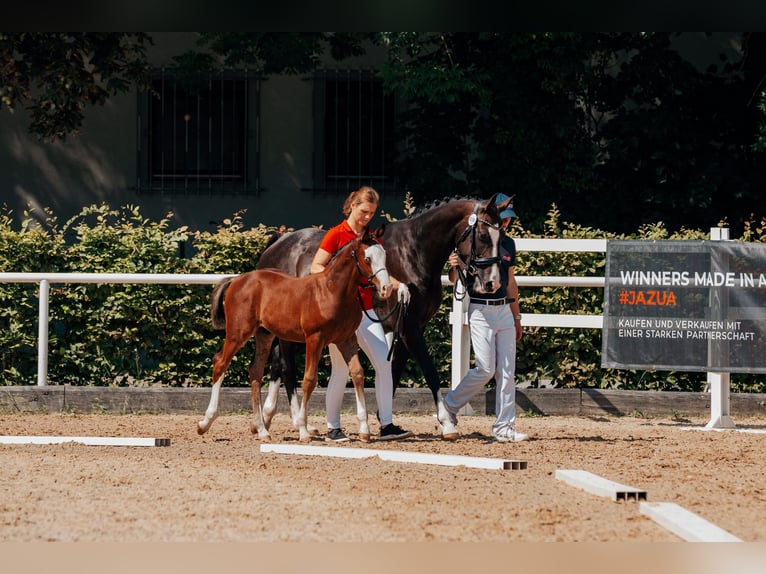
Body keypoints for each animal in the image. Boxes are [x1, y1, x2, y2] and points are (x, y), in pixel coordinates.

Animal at [197, 227, 392, 442]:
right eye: (367, 258)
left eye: (384, 255)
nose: (387, 288)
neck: (331, 291)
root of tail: (238, 279)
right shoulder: (314, 339)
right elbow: (309, 380)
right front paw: (303, 430)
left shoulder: (346, 339)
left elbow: (357, 373)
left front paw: (365, 429)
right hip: (238, 332)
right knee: (220, 362)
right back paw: (205, 423)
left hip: (264, 335)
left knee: (255, 370)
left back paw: (262, 429)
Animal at [256, 193, 512, 440]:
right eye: (483, 235)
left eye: (501, 237)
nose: (492, 283)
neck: (414, 251)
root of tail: (277, 244)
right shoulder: (409, 327)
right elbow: (429, 370)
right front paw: (446, 422)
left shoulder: (409, 326)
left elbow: (393, 370)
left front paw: (384, 422)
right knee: (286, 367)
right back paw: (294, 423)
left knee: (277, 364)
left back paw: (273, 419)